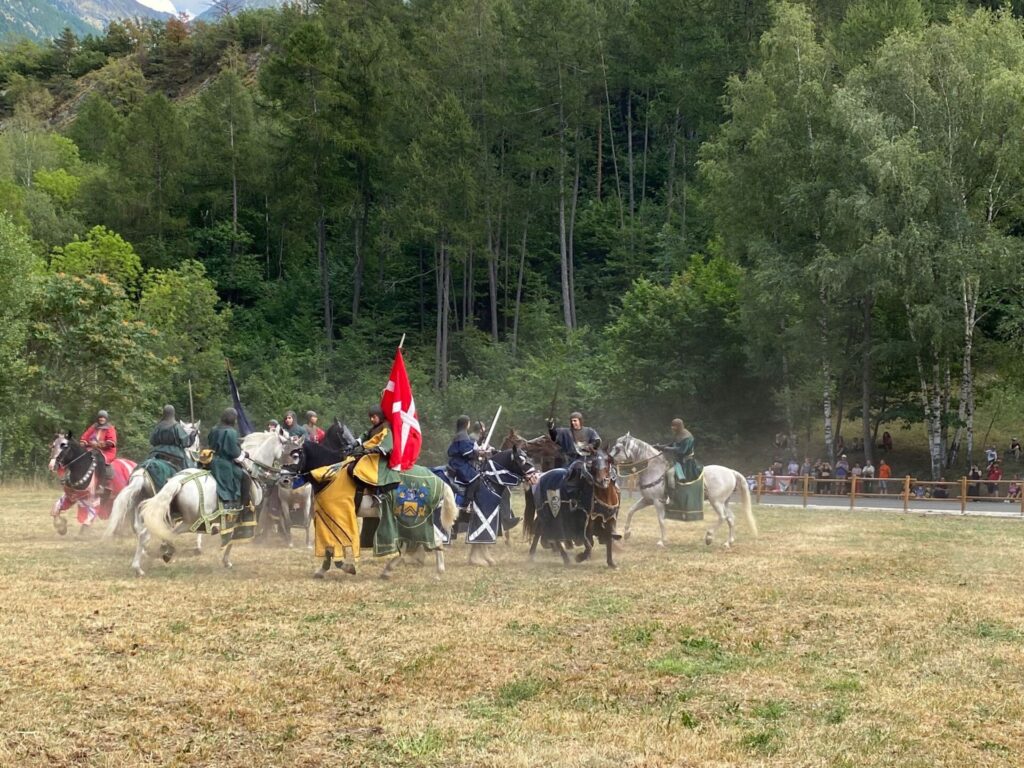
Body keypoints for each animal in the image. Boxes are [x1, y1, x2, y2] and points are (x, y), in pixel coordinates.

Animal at [131, 430, 296, 573]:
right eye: (289, 449)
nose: (287, 479)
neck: (252, 470)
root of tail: (179, 481)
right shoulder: (239, 518)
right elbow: (231, 539)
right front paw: (226, 561)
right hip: (189, 521)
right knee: (168, 534)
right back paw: (164, 553)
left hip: (167, 513)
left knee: (146, 534)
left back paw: (138, 566)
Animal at [602, 436, 757, 548]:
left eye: (617, 448)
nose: (607, 460)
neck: (654, 470)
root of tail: (731, 472)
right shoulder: (647, 500)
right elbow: (631, 511)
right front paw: (627, 533)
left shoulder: (658, 502)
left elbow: (661, 520)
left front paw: (662, 541)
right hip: (724, 502)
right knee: (730, 518)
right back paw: (728, 542)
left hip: (716, 501)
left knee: (723, 517)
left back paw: (709, 537)